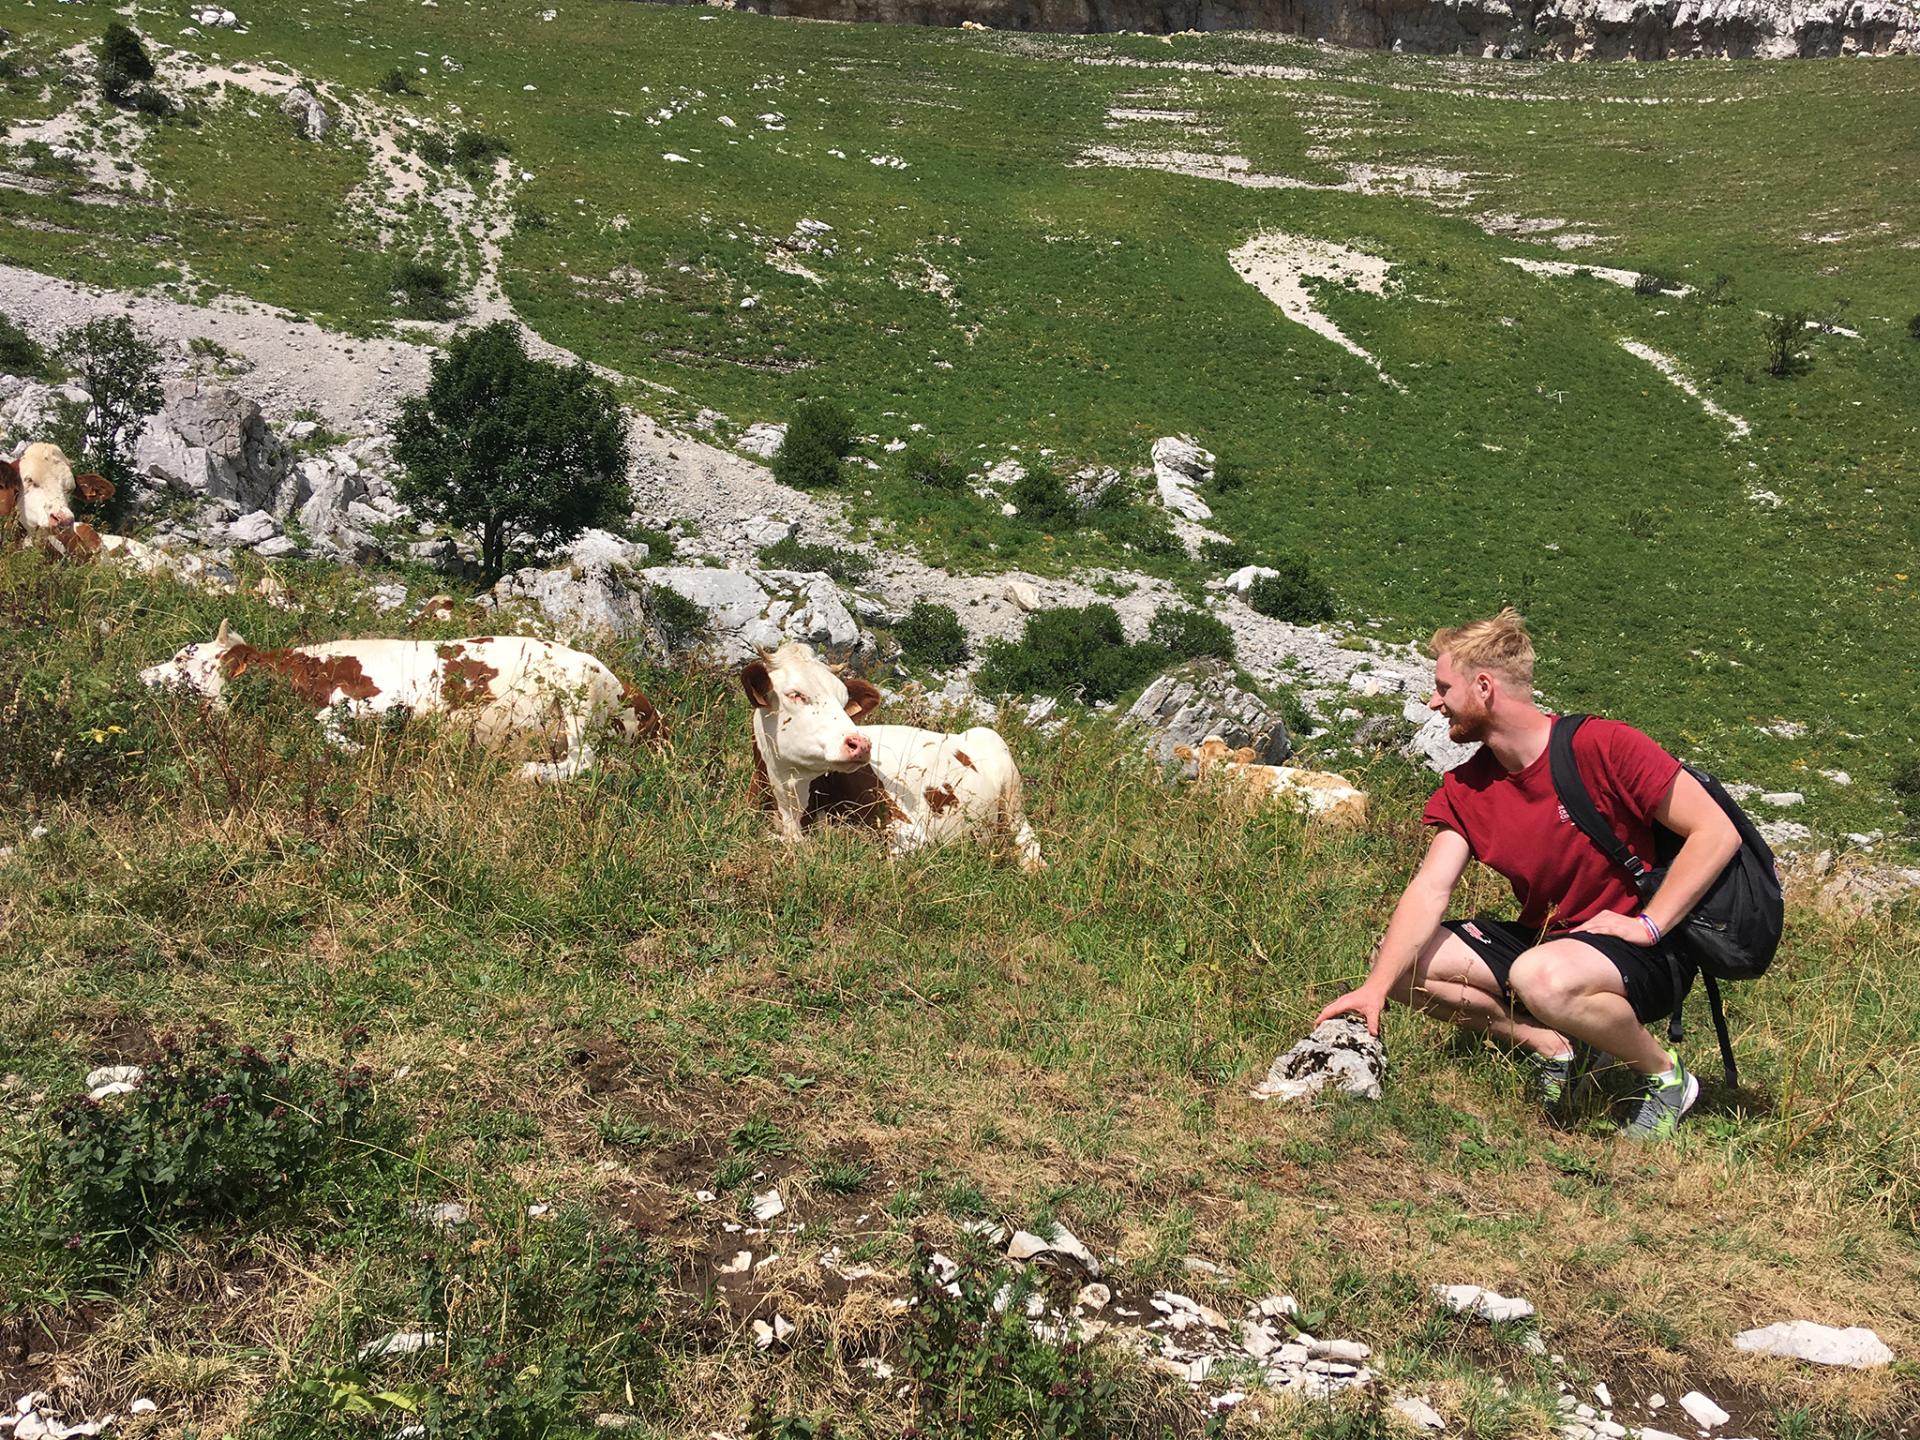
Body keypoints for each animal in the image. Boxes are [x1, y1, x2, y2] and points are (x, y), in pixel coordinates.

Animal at [135, 622, 660, 779]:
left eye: (184, 654)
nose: (142, 673)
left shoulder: (390, 701)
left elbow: (326, 726)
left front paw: (357, 750)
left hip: (578, 700)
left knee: (584, 762)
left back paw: (527, 771)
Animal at [744, 645, 1052, 875]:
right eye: (795, 694)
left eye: (844, 702)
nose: (861, 744)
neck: (791, 803)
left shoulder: (910, 832)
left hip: (1012, 800)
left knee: (1027, 839)